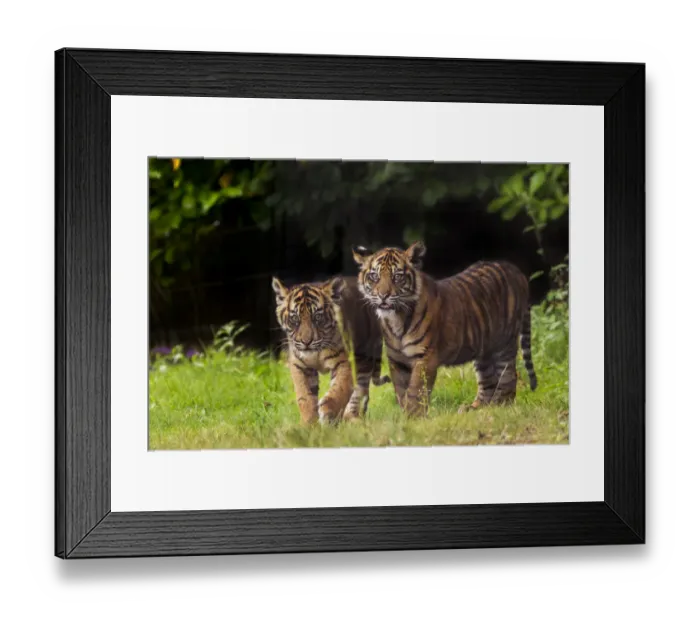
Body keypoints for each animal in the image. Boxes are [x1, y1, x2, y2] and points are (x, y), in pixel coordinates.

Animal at [272, 275, 390, 425]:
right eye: (294, 318)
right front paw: (308, 423)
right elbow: (305, 396)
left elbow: (339, 390)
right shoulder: (299, 366)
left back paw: (351, 417)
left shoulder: (344, 362)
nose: (306, 342)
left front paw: (328, 413)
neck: (315, 354)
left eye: (317, 317)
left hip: (364, 358)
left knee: (360, 391)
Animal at [352, 241, 538, 417]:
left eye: (397, 276)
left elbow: (415, 390)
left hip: (504, 343)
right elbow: (401, 391)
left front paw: (413, 417)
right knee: (488, 382)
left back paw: (502, 407)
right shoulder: (397, 360)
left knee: (509, 376)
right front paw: (406, 415)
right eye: (374, 276)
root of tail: (515, 270)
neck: (396, 318)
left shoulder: (425, 357)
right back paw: (477, 409)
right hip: (484, 348)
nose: (383, 296)